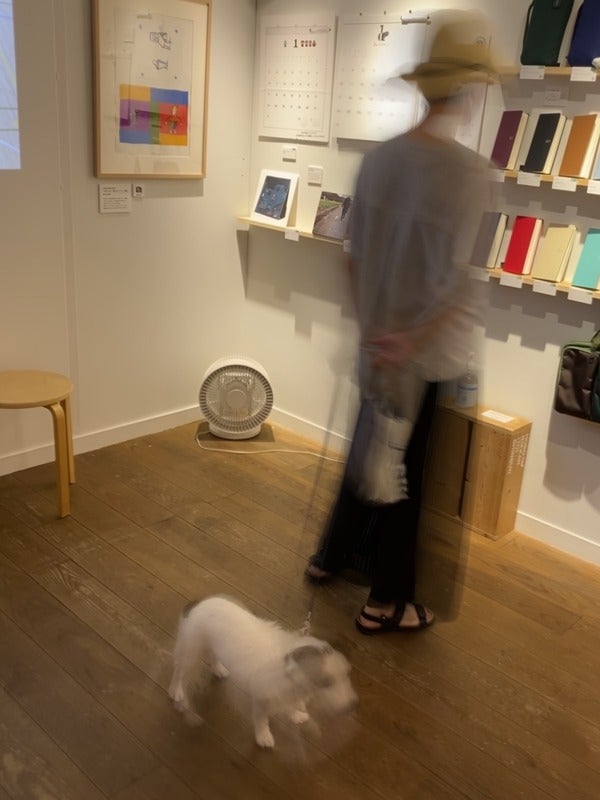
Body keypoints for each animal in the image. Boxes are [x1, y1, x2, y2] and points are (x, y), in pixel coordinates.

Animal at [168, 595, 357, 748]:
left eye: (347, 674)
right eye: (326, 682)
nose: (352, 705)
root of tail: (199, 603)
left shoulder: (289, 696)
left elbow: (290, 707)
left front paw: (296, 715)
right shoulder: (262, 700)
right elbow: (261, 720)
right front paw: (263, 737)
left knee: (215, 656)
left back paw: (219, 669)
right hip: (190, 652)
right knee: (179, 670)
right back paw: (176, 690)